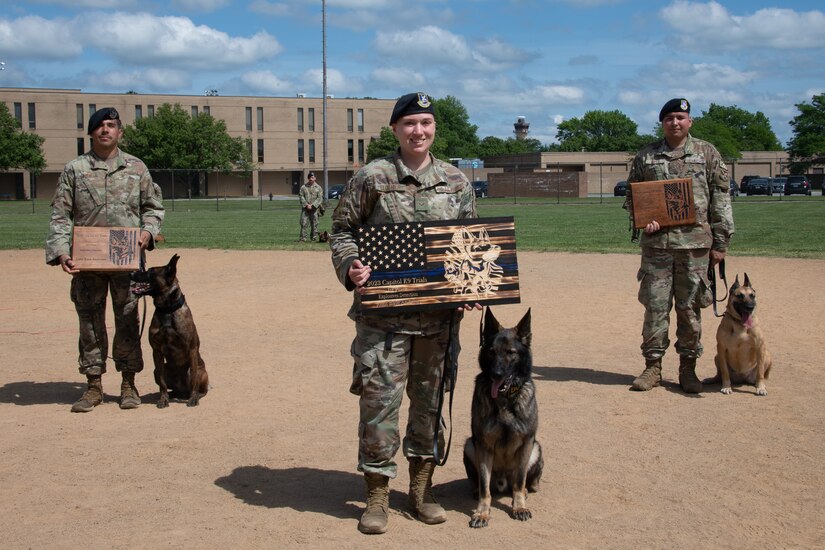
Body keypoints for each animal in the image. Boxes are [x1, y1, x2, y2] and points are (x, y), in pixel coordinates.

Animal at [130, 256, 209, 408]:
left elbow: (194, 380)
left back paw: (195, 395)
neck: (167, 309)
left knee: (198, 385)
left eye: (151, 271)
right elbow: (162, 382)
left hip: (198, 370)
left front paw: (193, 398)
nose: (131, 272)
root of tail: (183, 391)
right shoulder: (157, 351)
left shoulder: (192, 349)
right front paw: (163, 399)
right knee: (171, 386)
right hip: (159, 370)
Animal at [464, 310, 540, 532]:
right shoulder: (483, 445)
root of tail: (502, 481)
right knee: (480, 483)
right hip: (470, 445)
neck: (505, 400)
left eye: (510, 352)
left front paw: (519, 507)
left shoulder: (527, 442)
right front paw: (482, 513)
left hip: (536, 448)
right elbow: (484, 488)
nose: (496, 374)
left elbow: (520, 481)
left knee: (524, 483)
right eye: (491, 351)